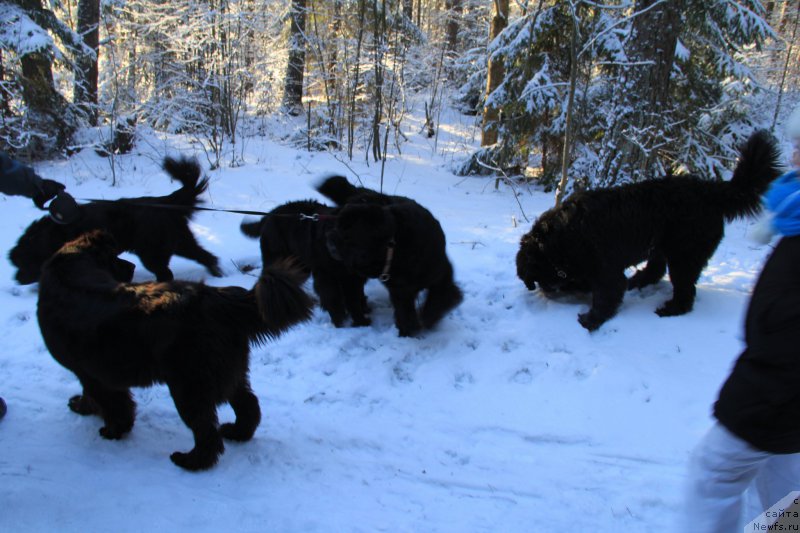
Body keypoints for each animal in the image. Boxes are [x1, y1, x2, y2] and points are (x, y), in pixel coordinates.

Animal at [9, 157, 222, 284]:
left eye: (21, 263)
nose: (16, 278)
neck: (46, 237)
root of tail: (165, 201)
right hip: (179, 241)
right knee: (204, 255)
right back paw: (216, 271)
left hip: (152, 251)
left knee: (165, 272)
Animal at [37, 230, 312, 470]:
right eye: (113, 256)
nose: (131, 267)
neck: (72, 270)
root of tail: (217, 300)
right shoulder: (91, 371)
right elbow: (99, 397)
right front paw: (83, 406)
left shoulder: (94, 373)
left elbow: (114, 405)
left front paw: (112, 430)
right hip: (229, 371)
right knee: (248, 405)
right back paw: (237, 433)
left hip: (190, 384)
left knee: (206, 430)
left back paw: (191, 461)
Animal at [241, 198, 372, 326]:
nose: (331, 245)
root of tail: (270, 215)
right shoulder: (326, 274)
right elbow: (333, 298)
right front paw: (341, 322)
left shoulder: (352, 277)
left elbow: (354, 298)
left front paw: (361, 317)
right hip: (278, 259)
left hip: (298, 265)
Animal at [314, 176, 460, 336]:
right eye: (337, 225)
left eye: (348, 232)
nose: (329, 237)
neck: (394, 247)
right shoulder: (400, 290)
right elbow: (405, 312)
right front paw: (408, 331)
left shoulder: (439, 273)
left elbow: (440, 297)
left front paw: (427, 319)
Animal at [516, 129, 784, 328]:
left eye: (537, 276)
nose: (545, 291)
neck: (557, 241)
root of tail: (710, 191)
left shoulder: (605, 268)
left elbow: (607, 294)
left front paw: (590, 320)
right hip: (664, 246)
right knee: (656, 269)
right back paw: (638, 280)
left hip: (685, 253)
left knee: (685, 288)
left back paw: (671, 309)